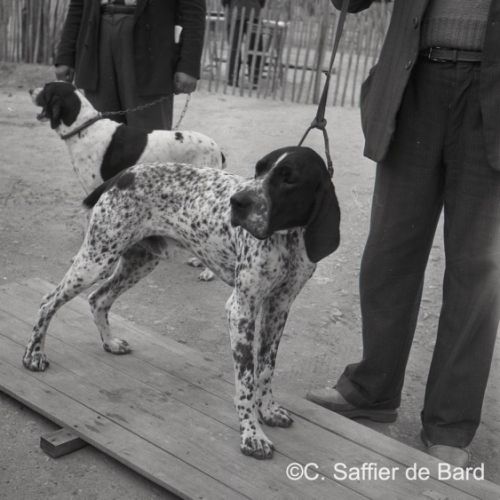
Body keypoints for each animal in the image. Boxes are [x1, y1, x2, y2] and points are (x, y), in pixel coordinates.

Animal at [22, 146, 341, 459]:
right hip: (96, 260)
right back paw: (34, 355)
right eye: (258, 169)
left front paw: (268, 411)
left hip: (139, 261)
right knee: (48, 301)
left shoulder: (279, 307)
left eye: (289, 178)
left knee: (98, 299)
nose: (237, 202)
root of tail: (123, 175)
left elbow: (265, 369)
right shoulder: (241, 309)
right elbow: (246, 381)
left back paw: (110, 343)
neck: (288, 239)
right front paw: (251, 435)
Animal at [31, 81, 224, 280]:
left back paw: (208, 272)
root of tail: (217, 149)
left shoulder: (94, 192)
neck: (85, 128)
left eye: (45, 89)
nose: (30, 90)